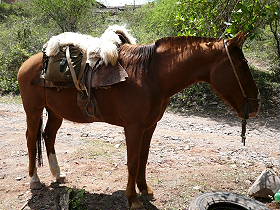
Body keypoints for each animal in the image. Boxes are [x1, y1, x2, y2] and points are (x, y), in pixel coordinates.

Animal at [17, 33, 260, 210]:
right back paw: (34, 180)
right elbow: (133, 161)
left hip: (55, 112)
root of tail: (28, 63)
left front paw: (144, 189)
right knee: (30, 140)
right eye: (241, 65)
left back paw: (58, 174)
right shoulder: (133, 128)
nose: (256, 106)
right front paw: (132, 198)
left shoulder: (149, 126)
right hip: (33, 110)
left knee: (48, 136)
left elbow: (144, 158)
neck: (151, 76)